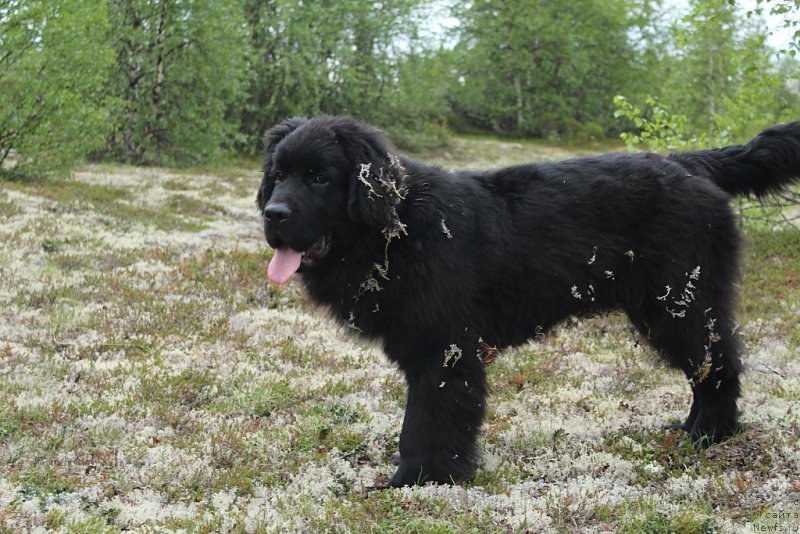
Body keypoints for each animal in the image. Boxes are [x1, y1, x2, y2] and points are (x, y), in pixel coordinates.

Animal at [258, 118, 800, 490]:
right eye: (278, 175)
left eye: (320, 178)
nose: (273, 214)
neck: (398, 228)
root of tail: (689, 162)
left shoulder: (444, 350)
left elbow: (427, 422)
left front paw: (418, 480)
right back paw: (692, 430)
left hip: (681, 304)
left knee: (719, 363)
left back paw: (711, 435)